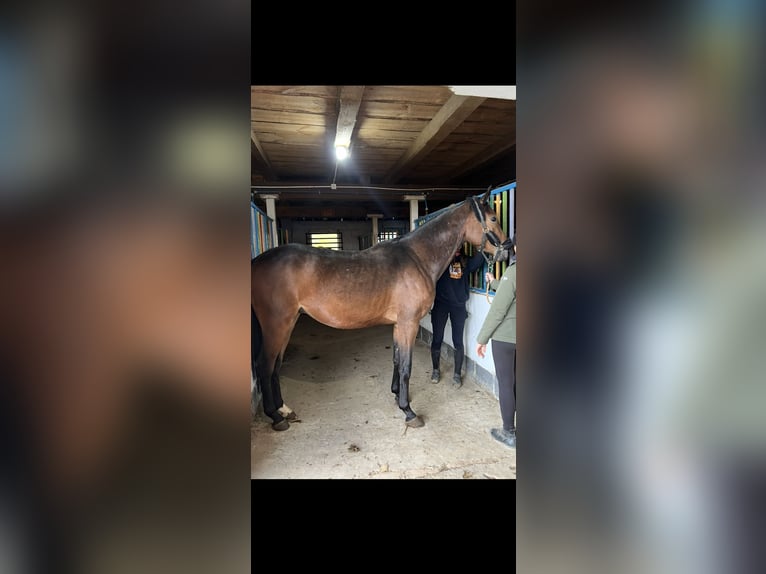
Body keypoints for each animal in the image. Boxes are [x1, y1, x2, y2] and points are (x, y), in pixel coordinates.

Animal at [251, 187, 512, 431]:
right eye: (493, 218)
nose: (508, 249)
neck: (418, 258)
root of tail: (256, 262)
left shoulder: (398, 324)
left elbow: (396, 360)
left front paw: (396, 395)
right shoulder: (408, 323)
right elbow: (406, 366)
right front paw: (408, 411)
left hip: (289, 323)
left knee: (275, 366)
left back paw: (284, 409)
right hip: (277, 325)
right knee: (265, 365)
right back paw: (275, 417)